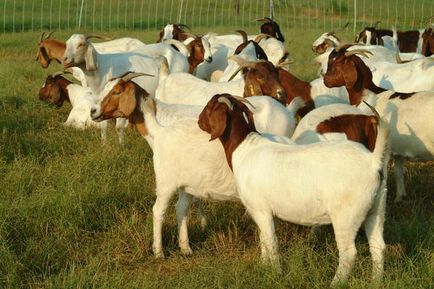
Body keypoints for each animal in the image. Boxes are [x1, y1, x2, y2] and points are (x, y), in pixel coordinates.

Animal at [198, 93, 392, 284]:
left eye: (208, 107)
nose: (199, 121)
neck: (244, 147)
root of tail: (372, 161)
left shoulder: (260, 209)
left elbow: (272, 243)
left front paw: (276, 274)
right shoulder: (270, 212)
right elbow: (264, 240)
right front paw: (263, 265)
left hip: (347, 215)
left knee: (348, 253)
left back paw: (336, 283)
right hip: (376, 207)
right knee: (378, 246)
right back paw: (376, 281)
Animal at [324, 46, 434, 201]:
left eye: (335, 62)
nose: (325, 80)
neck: (369, 96)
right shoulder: (397, 151)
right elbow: (399, 173)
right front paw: (400, 197)